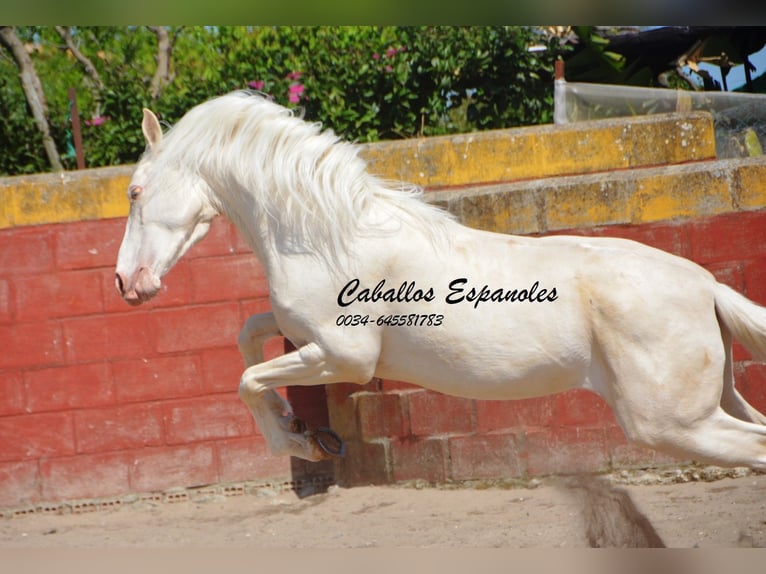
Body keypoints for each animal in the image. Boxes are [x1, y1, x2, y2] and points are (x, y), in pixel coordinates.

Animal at [114, 90, 766, 470]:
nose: (127, 283)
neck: (334, 236)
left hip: (671, 425)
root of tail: (708, 288)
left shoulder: (344, 357)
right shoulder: (303, 333)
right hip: (715, 406)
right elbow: (248, 336)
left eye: (135, 191)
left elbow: (248, 378)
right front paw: (298, 427)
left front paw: (300, 443)